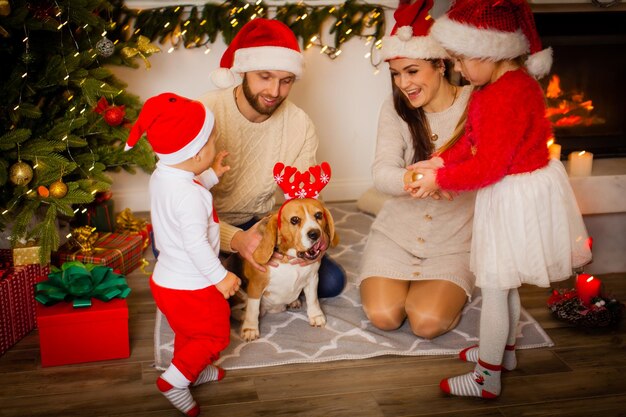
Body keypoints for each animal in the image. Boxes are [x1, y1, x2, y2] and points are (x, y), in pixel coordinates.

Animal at [239, 198, 336, 342]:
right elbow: (253, 308)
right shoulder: (256, 285)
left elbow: (313, 299)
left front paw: (316, 316)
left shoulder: (312, 278)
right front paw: (250, 329)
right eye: (294, 220)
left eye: (318, 215)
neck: (290, 259)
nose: (315, 234)